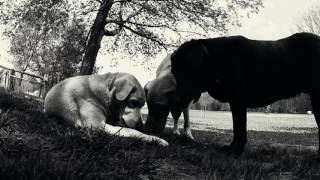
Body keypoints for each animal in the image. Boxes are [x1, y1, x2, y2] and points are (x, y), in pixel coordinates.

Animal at [171, 32, 320, 156]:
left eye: (179, 70)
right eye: (174, 72)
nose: (176, 98)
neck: (216, 59)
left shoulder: (238, 102)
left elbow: (239, 129)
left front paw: (235, 151)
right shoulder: (235, 103)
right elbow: (237, 129)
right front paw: (232, 148)